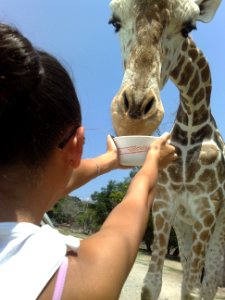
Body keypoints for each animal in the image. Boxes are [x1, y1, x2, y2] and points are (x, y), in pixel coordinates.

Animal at [108, 0, 224, 300]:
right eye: (114, 22)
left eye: (189, 27)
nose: (134, 117)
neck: (192, 128)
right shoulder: (164, 206)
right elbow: (152, 284)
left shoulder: (207, 212)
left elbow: (194, 291)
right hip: (184, 226)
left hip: (218, 227)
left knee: (211, 279)